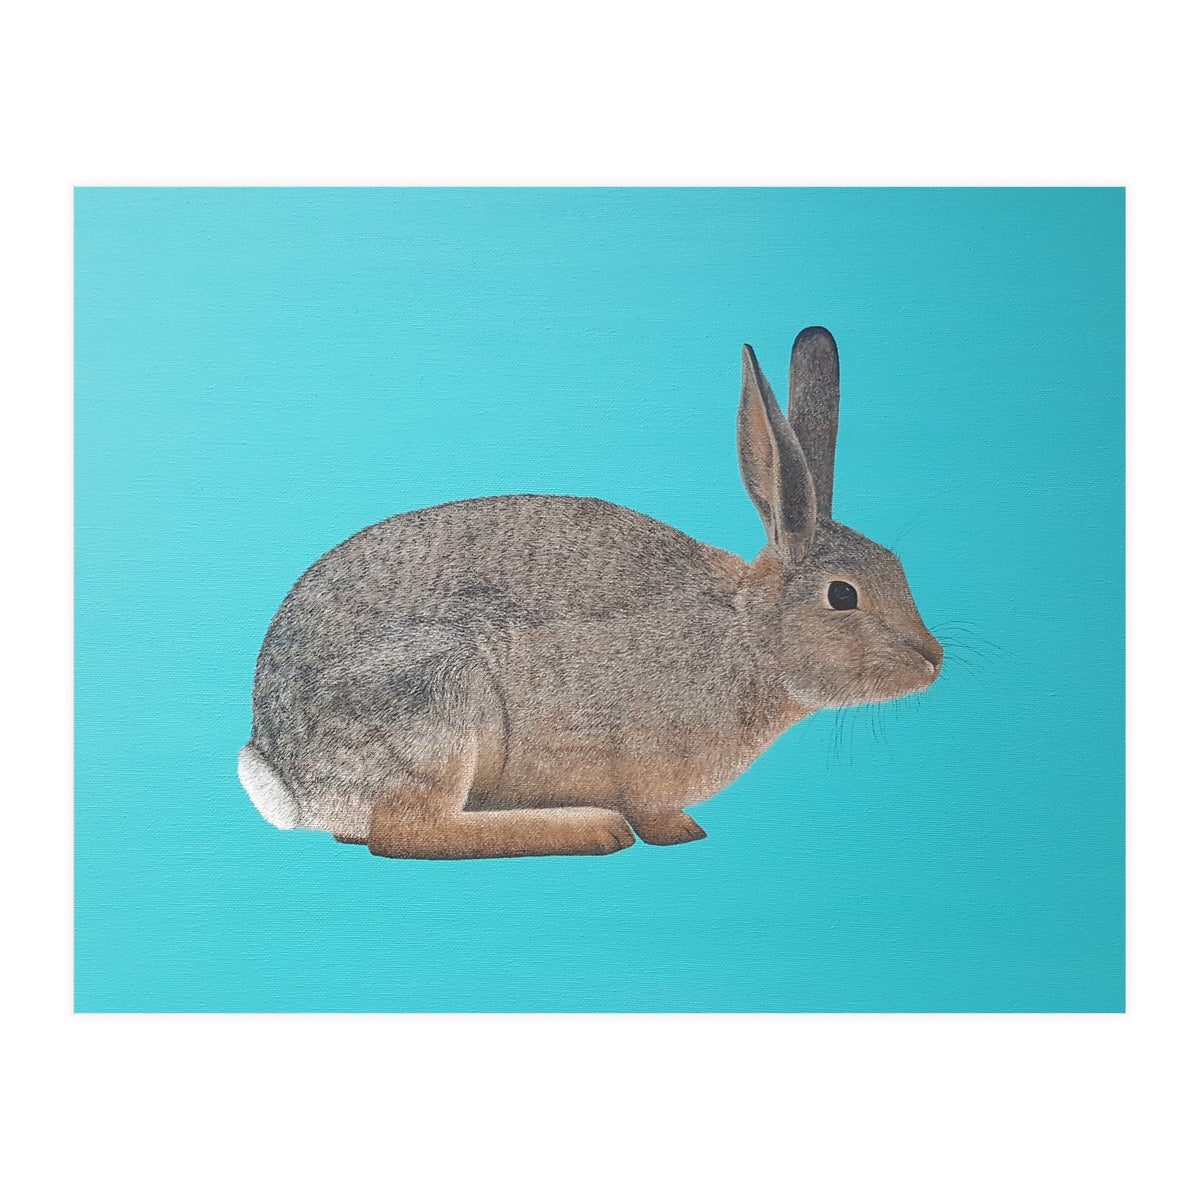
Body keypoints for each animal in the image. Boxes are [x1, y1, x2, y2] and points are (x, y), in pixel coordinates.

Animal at [238, 328, 942, 859]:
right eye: (843, 597)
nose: (933, 659)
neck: (750, 635)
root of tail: (288, 775)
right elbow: (651, 809)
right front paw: (677, 832)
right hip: (438, 702)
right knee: (406, 833)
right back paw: (591, 828)